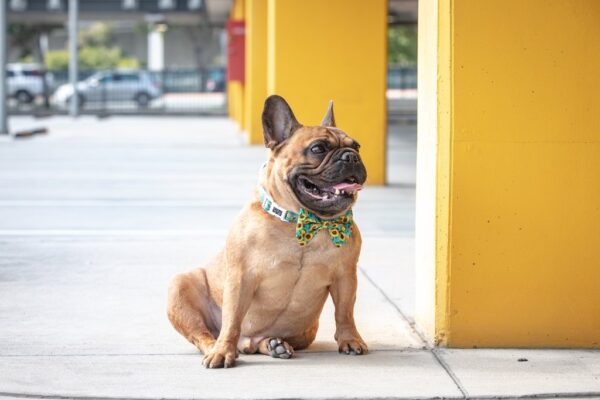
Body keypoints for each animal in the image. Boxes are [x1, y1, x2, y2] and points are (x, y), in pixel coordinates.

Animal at [166, 94, 368, 368]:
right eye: (318, 148)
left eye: (357, 146)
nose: (351, 157)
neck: (301, 223)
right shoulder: (240, 278)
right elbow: (231, 321)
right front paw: (222, 352)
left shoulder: (345, 276)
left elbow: (345, 312)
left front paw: (351, 340)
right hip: (180, 287)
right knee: (205, 334)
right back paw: (216, 348)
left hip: (305, 332)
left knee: (255, 342)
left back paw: (274, 344)